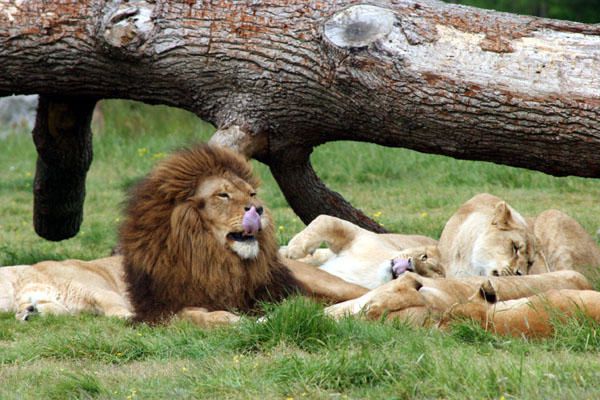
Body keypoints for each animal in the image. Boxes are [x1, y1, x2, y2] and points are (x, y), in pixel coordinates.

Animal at [278, 214, 438, 290]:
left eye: (430, 275)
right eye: (424, 257)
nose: (410, 266)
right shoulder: (358, 235)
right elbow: (325, 219)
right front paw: (294, 249)